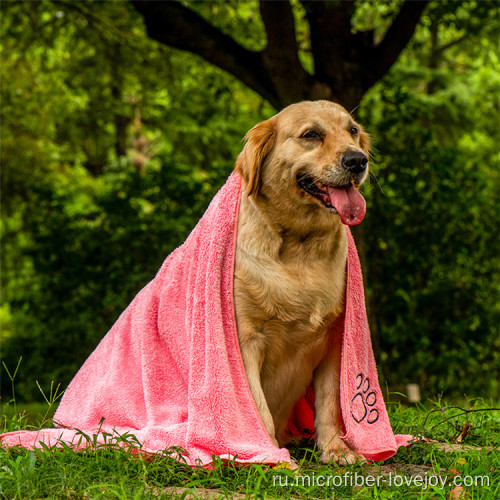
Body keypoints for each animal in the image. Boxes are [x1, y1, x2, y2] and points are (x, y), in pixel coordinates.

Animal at [232, 100, 370, 464]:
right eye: (311, 135)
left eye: (352, 130)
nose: (357, 160)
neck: (300, 250)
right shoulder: (246, 339)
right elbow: (256, 407)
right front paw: (269, 456)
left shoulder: (335, 339)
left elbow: (330, 402)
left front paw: (336, 449)